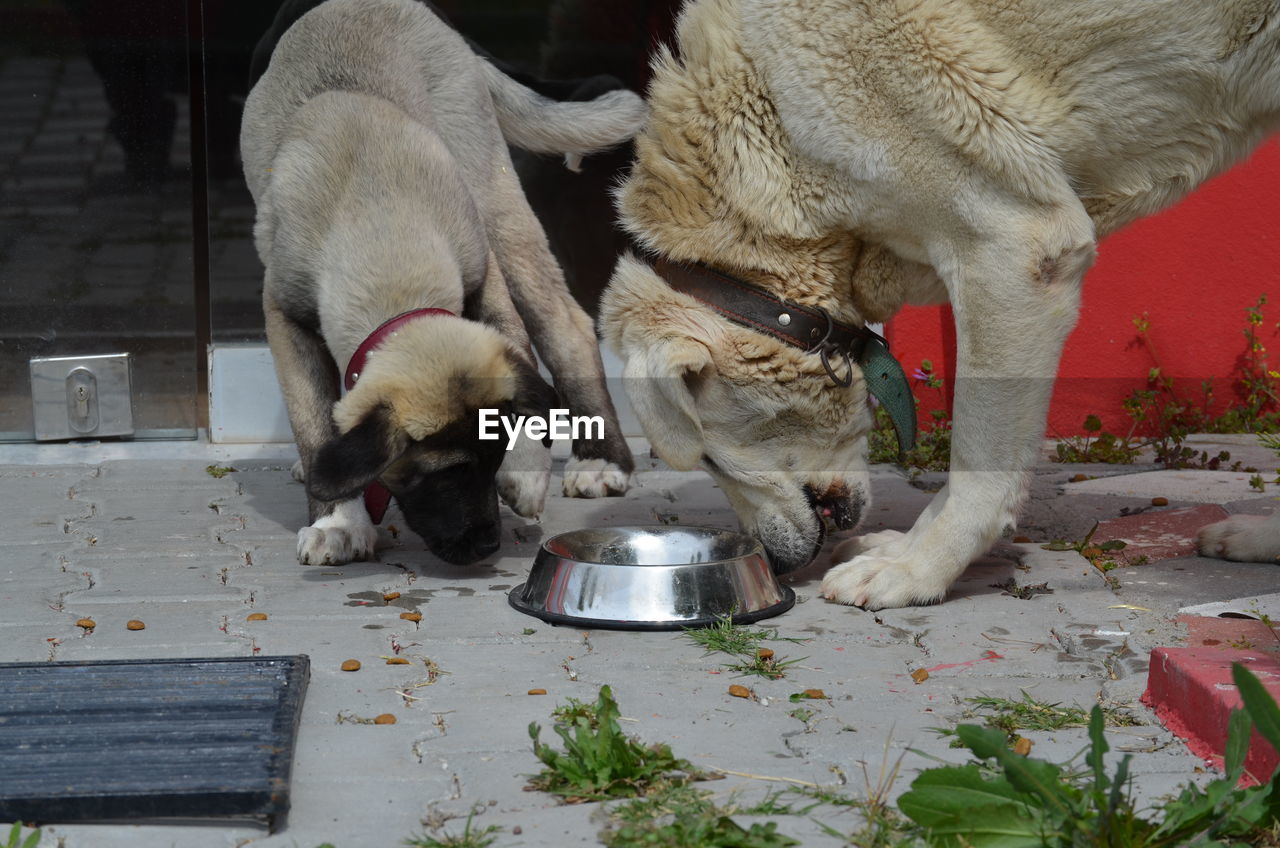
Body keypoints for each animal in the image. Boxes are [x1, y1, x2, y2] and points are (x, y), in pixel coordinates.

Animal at [599, 0, 1280, 612]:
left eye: (710, 458)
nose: (777, 564)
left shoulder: (1009, 246)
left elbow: (977, 462)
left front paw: (916, 569)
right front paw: (903, 550)